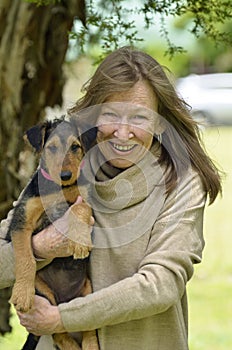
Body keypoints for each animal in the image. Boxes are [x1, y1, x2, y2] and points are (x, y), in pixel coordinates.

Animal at [6, 117, 99, 350]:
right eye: (52, 148)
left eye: (75, 147)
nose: (65, 176)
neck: (60, 189)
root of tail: (65, 298)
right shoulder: (20, 222)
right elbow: (25, 257)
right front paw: (22, 293)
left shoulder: (86, 200)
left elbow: (79, 208)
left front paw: (80, 242)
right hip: (44, 294)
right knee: (58, 331)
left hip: (87, 290)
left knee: (85, 327)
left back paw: (90, 345)